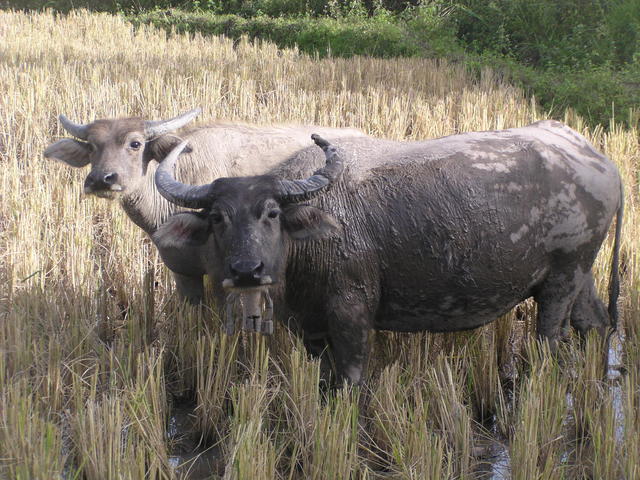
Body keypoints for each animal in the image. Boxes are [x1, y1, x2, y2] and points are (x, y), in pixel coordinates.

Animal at [152, 122, 624, 384]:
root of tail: (600, 162)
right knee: (595, 324)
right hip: (581, 275)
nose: (247, 269)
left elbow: (351, 380)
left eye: (271, 212)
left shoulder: (352, 314)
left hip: (562, 279)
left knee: (549, 341)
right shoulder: (310, 327)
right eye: (217, 217)